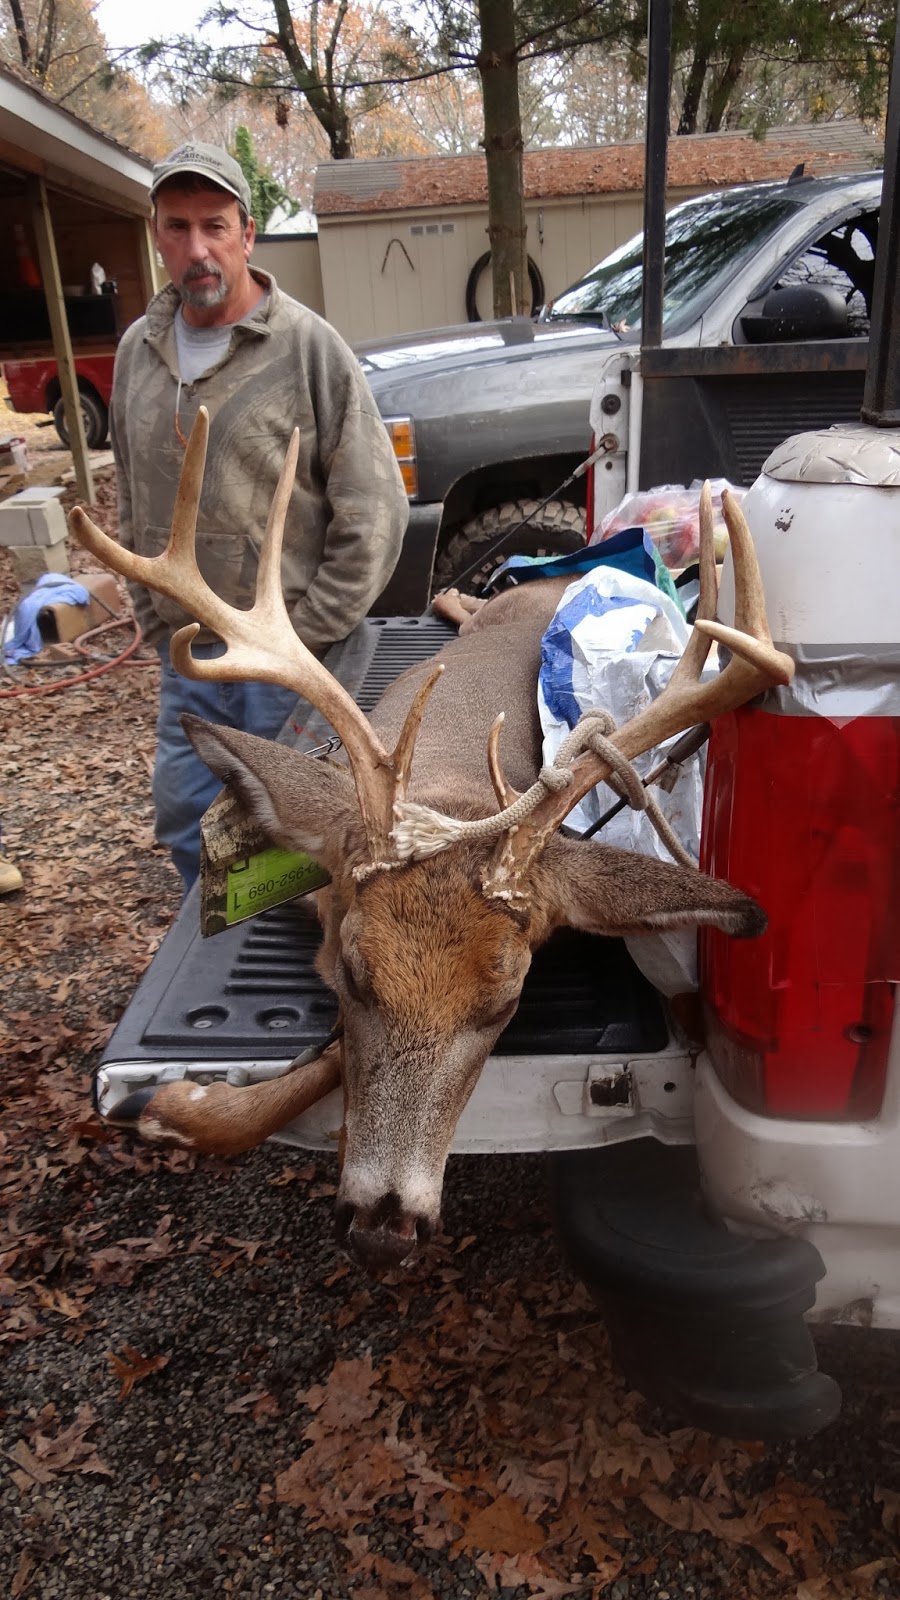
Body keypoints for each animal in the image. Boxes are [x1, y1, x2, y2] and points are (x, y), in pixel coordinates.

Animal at [70, 407, 793, 1274]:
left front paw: (177, 1102)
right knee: (479, 598)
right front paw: (173, 1105)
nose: (386, 1227)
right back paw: (453, 592)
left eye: (506, 1000)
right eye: (354, 972)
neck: (451, 791)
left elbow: (327, 1065)